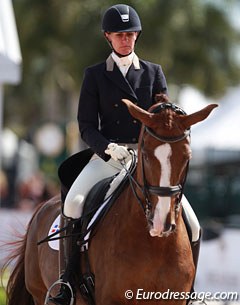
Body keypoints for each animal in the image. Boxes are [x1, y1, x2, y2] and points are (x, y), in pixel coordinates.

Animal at [5, 98, 218, 304]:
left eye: (187, 156)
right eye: (145, 154)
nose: (161, 223)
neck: (155, 244)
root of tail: (43, 207)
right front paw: (117, 151)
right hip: (40, 293)